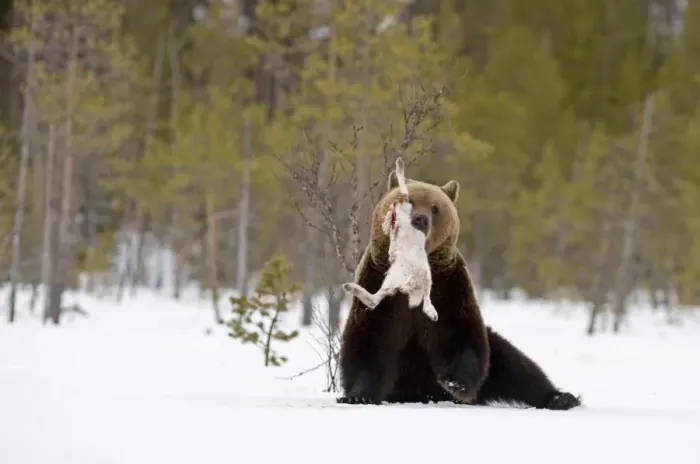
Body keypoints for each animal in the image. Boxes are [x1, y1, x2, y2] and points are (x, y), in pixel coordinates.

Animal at [336, 170, 582, 409]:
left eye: (435, 208)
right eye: (409, 201)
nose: (420, 219)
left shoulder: (449, 289)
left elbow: (461, 336)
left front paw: (456, 383)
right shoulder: (379, 287)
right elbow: (368, 342)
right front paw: (358, 396)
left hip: (495, 352)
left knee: (517, 366)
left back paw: (560, 397)